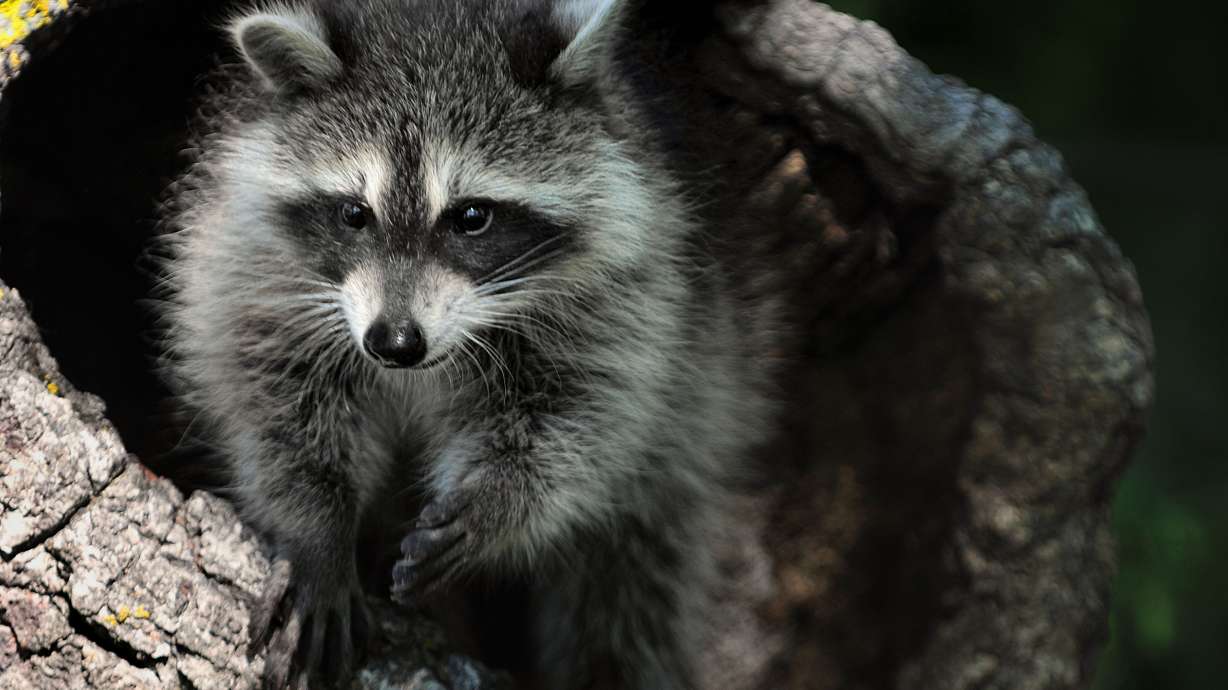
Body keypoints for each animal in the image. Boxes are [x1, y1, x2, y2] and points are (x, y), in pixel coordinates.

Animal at [158, 0, 777, 687]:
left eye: (471, 217)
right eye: (354, 214)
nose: (394, 342)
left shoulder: (638, 288)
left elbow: (585, 414)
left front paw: (498, 505)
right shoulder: (247, 262)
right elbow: (271, 397)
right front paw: (316, 527)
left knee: (631, 588)